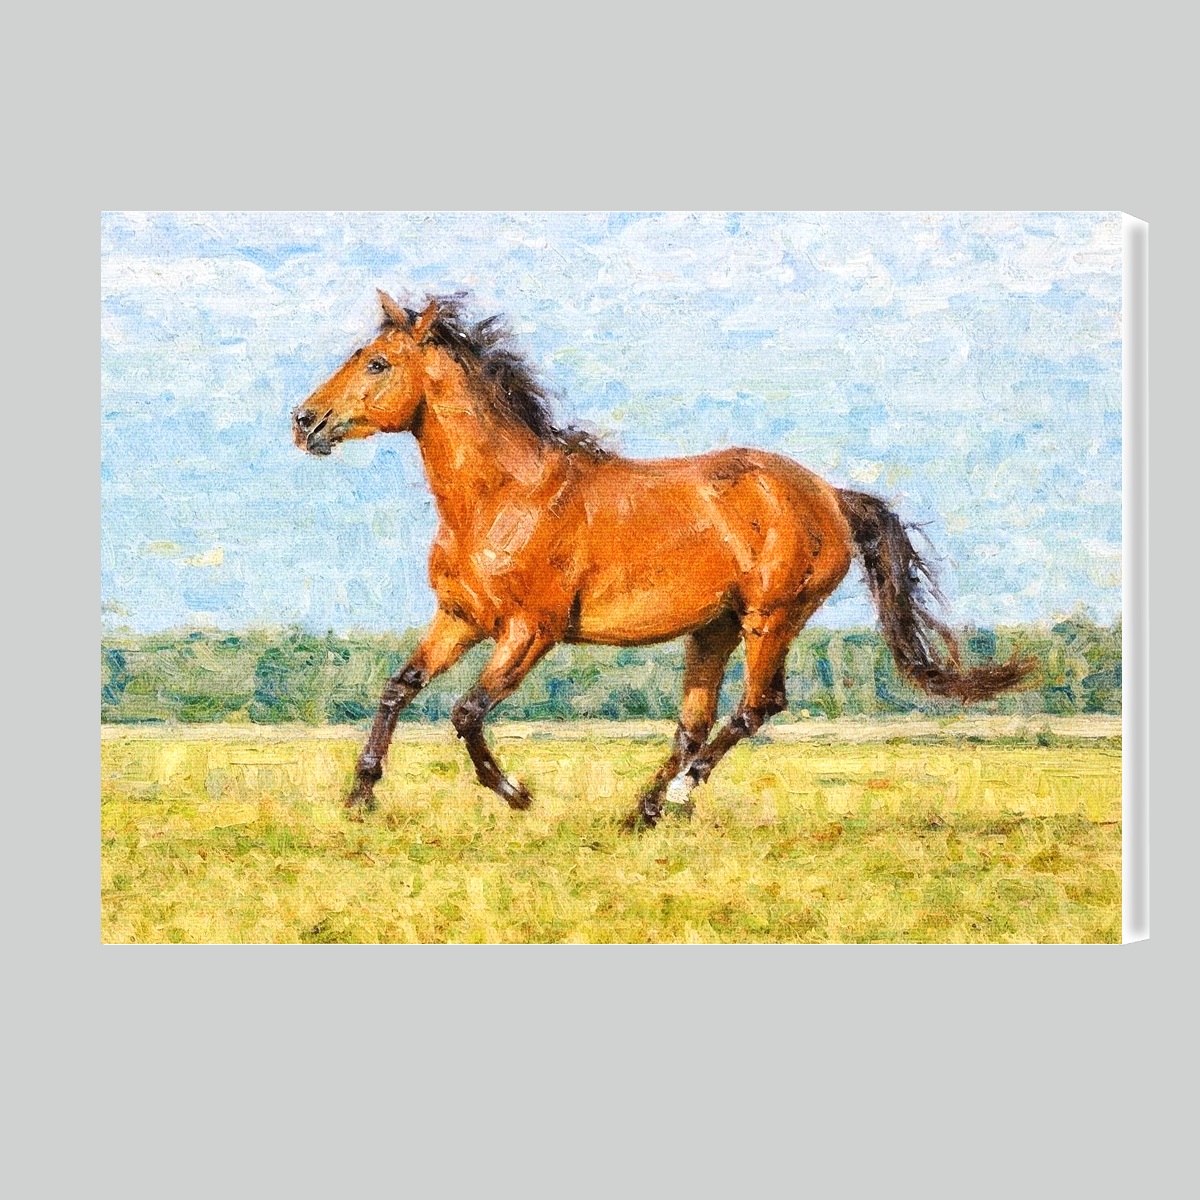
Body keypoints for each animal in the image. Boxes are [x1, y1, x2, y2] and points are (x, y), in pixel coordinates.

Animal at [292, 291, 1035, 827]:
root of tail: (828, 494)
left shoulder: (531, 630)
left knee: (757, 707)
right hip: (714, 628)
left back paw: (673, 798)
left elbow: (467, 711)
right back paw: (643, 810)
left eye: (378, 364)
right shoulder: (460, 617)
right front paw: (360, 798)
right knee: (693, 723)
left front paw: (516, 792)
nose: (305, 422)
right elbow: (399, 688)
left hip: (771, 618)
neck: (505, 497)